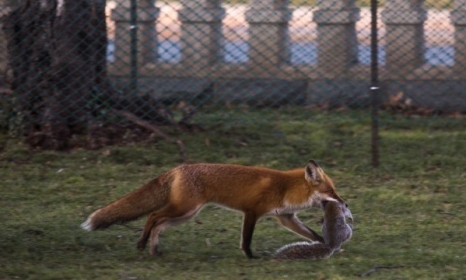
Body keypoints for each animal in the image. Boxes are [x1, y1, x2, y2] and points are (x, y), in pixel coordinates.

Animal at [81, 160, 346, 258]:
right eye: (332, 192)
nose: (344, 203)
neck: (285, 188)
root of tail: (178, 168)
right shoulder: (251, 212)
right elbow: (246, 239)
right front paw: (250, 256)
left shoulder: (286, 217)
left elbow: (311, 233)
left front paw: (325, 243)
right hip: (183, 209)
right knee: (154, 216)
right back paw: (142, 243)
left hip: (186, 214)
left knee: (159, 223)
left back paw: (154, 250)